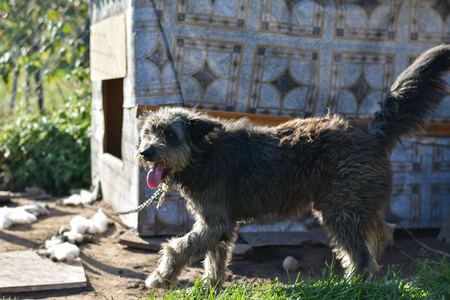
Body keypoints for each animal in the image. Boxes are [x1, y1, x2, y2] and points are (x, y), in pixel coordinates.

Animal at [138, 45, 450, 288]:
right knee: (383, 232)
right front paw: (210, 285)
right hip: (360, 201)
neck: (204, 154)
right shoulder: (218, 224)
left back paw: (351, 284)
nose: (145, 152)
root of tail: (371, 134)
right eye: (148, 132)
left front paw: (160, 278)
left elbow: (178, 247)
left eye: (171, 135)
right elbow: (216, 255)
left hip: (340, 208)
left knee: (362, 257)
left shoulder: (216, 222)